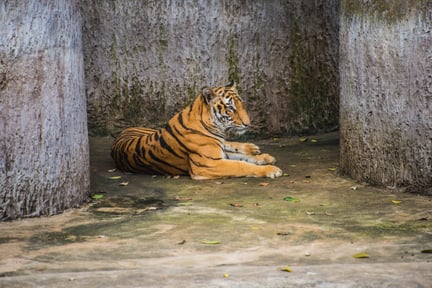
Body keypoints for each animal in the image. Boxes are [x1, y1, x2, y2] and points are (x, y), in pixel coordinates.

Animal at [109, 81, 282, 179]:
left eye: (241, 104)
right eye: (230, 108)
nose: (248, 124)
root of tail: (124, 130)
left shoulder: (217, 153)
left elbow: (242, 157)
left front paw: (265, 158)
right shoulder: (208, 164)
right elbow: (241, 164)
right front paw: (271, 169)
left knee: (231, 144)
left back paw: (254, 148)